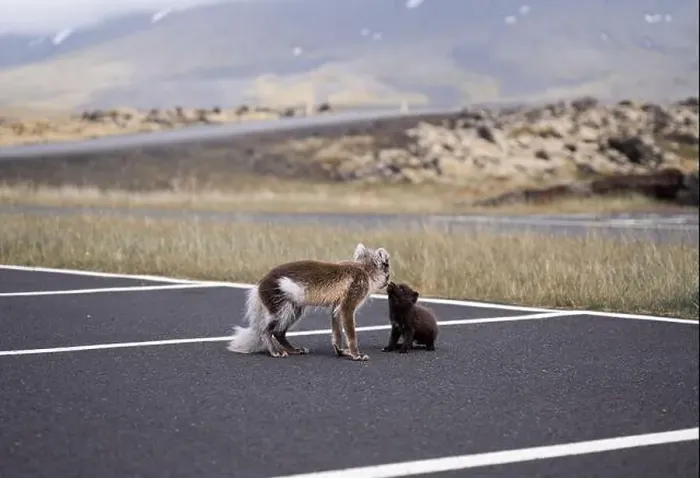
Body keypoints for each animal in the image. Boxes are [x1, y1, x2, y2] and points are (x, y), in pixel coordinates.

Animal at [226, 243, 391, 361]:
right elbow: (350, 328)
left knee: (279, 331)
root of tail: (260, 283)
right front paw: (356, 354)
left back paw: (293, 349)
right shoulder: (352, 296)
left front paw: (340, 351)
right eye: (388, 270)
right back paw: (275, 351)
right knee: (267, 330)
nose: (388, 282)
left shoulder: (337, 304)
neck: (365, 269)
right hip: (278, 302)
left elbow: (336, 327)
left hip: (294, 307)